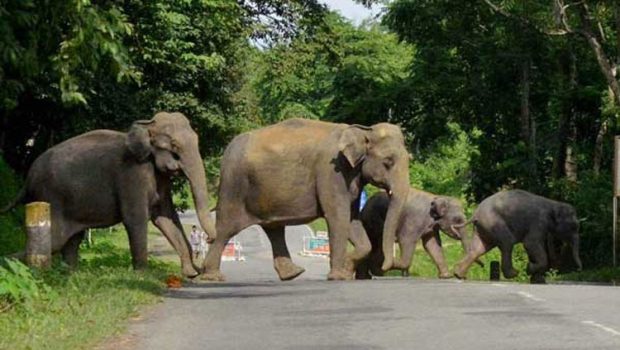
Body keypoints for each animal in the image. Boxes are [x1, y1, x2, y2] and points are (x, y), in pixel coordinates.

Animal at [1, 112, 216, 276]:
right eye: (174, 146)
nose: (209, 240)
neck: (146, 126)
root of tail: (28, 178)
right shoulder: (132, 175)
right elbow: (136, 219)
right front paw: (143, 275)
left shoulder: (159, 178)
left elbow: (166, 217)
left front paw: (190, 273)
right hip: (49, 198)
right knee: (56, 239)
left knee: (71, 240)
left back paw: (71, 274)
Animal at [201, 117, 410, 282]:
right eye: (388, 162)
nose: (384, 267)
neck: (363, 130)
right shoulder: (332, 172)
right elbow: (338, 217)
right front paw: (339, 276)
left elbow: (351, 218)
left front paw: (346, 270)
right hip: (234, 184)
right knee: (227, 228)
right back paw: (213, 277)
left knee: (273, 228)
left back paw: (292, 274)